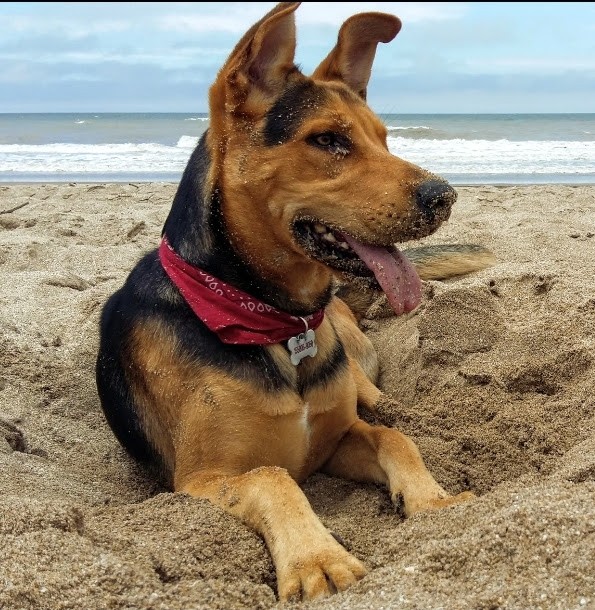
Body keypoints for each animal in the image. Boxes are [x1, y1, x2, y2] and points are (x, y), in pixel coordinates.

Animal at [96, 0, 494, 600]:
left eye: (385, 138)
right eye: (328, 140)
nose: (444, 196)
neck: (270, 319)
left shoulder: (337, 440)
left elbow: (394, 439)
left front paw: (434, 501)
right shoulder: (198, 480)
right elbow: (273, 477)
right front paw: (316, 559)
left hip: (353, 358)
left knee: (379, 399)